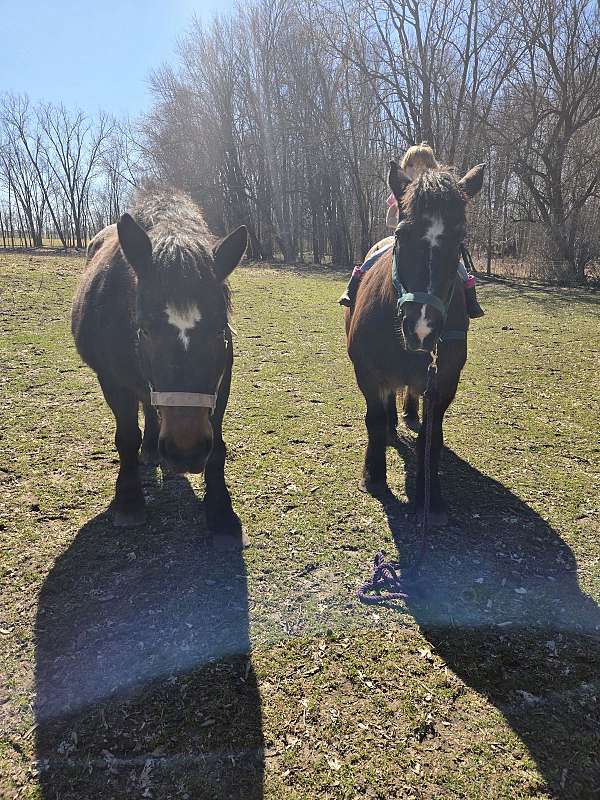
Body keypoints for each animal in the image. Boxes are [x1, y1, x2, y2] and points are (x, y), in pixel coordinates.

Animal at [71, 189, 247, 532]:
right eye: (145, 329)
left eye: (220, 329)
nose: (186, 451)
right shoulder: (112, 381)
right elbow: (127, 438)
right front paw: (129, 502)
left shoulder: (222, 379)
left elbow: (217, 444)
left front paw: (220, 508)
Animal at [345, 161, 485, 524]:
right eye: (401, 235)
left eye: (459, 239)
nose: (422, 329)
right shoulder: (368, 374)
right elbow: (374, 420)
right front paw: (374, 477)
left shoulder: (444, 381)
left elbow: (431, 437)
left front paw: (430, 496)